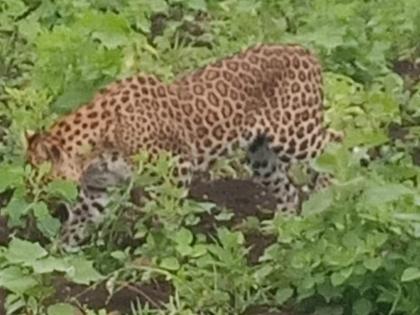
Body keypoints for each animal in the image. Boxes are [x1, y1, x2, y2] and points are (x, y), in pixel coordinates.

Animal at [25, 42, 342, 244]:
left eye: (42, 181)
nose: (33, 203)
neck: (93, 153)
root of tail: (305, 51)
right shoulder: (96, 190)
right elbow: (78, 222)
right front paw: (57, 259)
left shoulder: (176, 165)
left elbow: (169, 213)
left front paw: (166, 250)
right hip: (260, 154)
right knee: (288, 190)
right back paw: (283, 226)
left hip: (294, 132)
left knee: (334, 141)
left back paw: (326, 193)